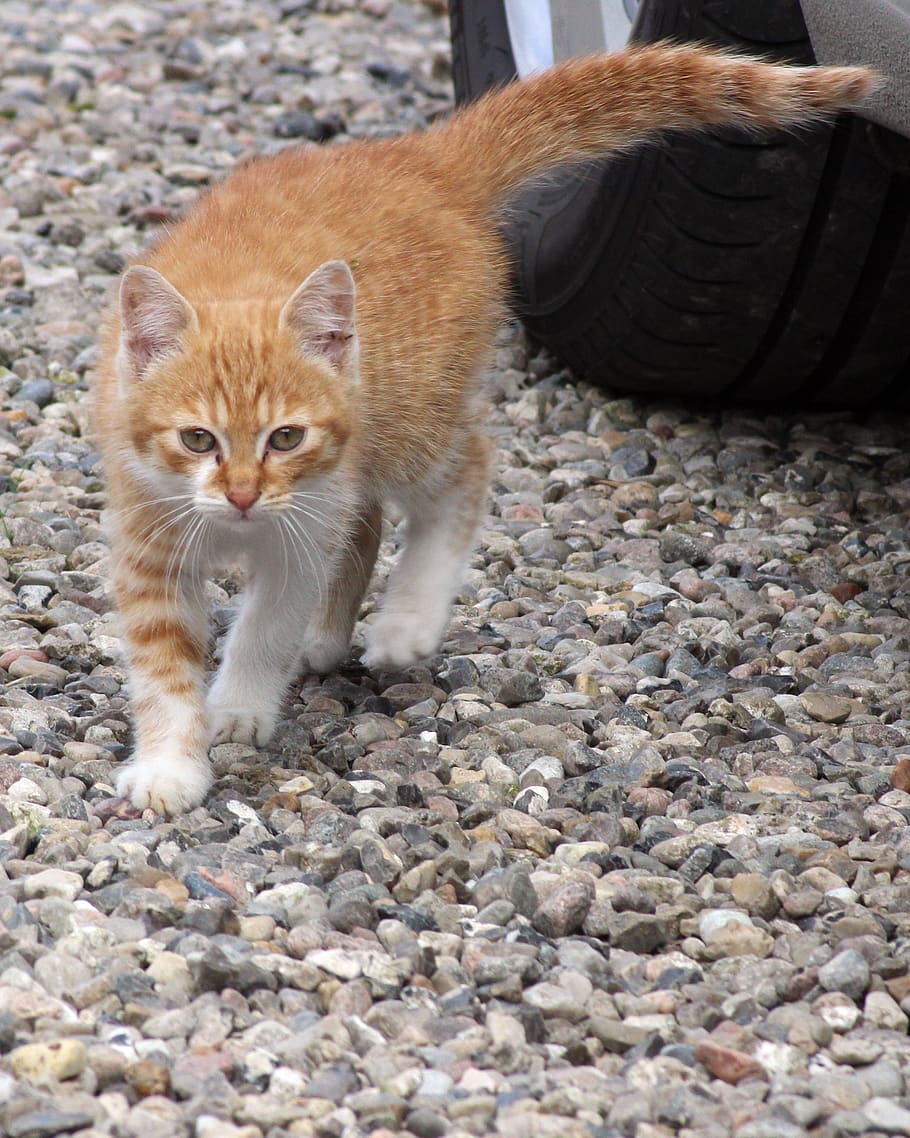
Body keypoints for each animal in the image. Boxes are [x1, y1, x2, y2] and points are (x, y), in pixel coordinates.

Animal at [94, 42, 873, 810]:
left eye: (285, 438)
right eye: (198, 439)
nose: (243, 496)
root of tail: (419, 158)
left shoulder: (302, 527)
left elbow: (267, 625)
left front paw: (239, 706)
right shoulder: (149, 537)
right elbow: (162, 662)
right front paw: (170, 764)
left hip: (413, 413)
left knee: (467, 469)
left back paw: (408, 619)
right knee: (369, 519)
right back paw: (328, 633)